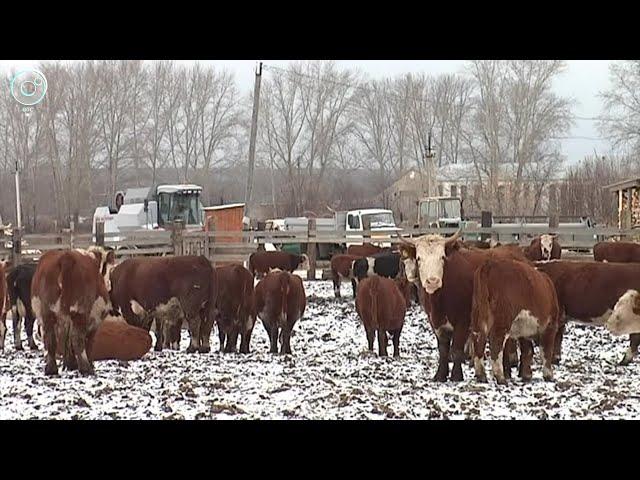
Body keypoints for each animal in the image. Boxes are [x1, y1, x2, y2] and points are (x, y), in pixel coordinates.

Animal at [30, 246, 115, 376]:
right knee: (78, 338)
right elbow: (89, 340)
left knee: (51, 339)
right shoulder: (95, 318)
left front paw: (69, 364)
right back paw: (86, 367)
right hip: (79, 311)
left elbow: (66, 339)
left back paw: (51, 369)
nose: (109, 284)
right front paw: (88, 363)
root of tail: (66, 257)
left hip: (48, 313)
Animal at [400, 232, 528, 382]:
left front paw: (456, 375)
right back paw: (506, 372)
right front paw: (440, 375)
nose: (432, 281)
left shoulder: (463, 321)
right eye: (419, 258)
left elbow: (456, 349)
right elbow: (443, 350)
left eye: (442, 257)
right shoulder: (435, 322)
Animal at [470, 256, 560, 384]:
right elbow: (546, 351)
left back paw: (481, 375)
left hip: (479, 312)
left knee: (478, 338)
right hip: (503, 318)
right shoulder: (550, 325)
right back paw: (500, 377)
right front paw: (548, 375)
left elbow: (527, 350)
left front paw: (526, 374)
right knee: (496, 342)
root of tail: (489, 265)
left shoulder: (525, 329)